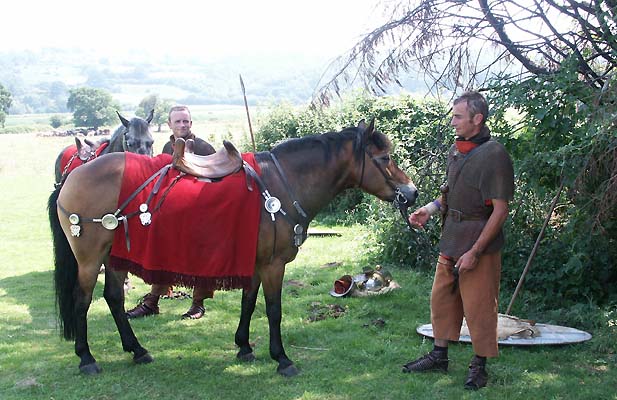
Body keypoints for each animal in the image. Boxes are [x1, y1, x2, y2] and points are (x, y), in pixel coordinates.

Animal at [47, 120, 414, 376]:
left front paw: (244, 347)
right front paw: (282, 358)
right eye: (385, 157)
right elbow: (274, 309)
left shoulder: (256, 262)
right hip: (90, 259)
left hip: (115, 256)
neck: (283, 183)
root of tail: (72, 177)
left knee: (113, 298)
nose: (411, 193)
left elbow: (248, 303)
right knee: (82, 301)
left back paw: (137, 350)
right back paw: (87, 358)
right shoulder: (273, 265)